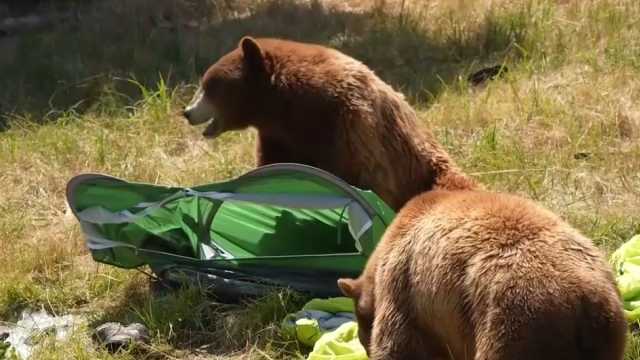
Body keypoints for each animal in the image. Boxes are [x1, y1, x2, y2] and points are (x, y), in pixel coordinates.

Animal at [182, 35, 478, 211]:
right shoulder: (278, 136)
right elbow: (272, 164)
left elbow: (365, 176)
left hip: (429, 170)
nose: (187, 111)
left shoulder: (346, 123)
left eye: (209, 87)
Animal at [338, 190, 628, 358]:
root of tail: (586, 300)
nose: (364, 348)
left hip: (513, 321)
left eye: (361, 330)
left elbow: (399, 346)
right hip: (607, 338)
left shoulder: (405, 291)